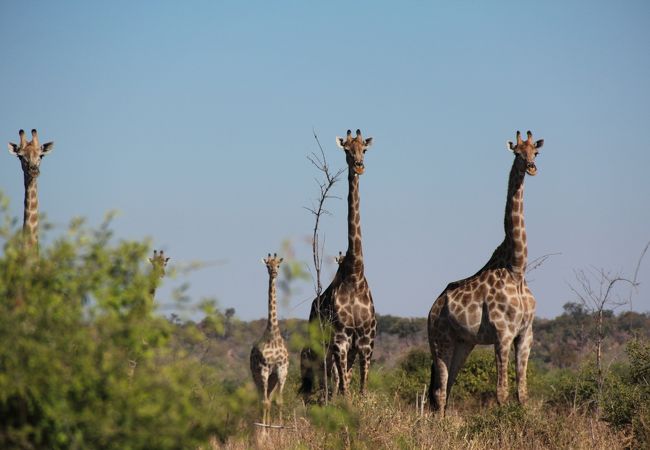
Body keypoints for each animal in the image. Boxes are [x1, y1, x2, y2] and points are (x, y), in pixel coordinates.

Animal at [298, 129, 374, 398]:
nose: (359, 166)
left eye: (364, 149)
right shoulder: (341, 339)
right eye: (347, 151)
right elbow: (345, 390)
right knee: (326, 383)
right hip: (321, 346)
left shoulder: (366, 342)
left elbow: (361, 389)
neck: (355, 273)